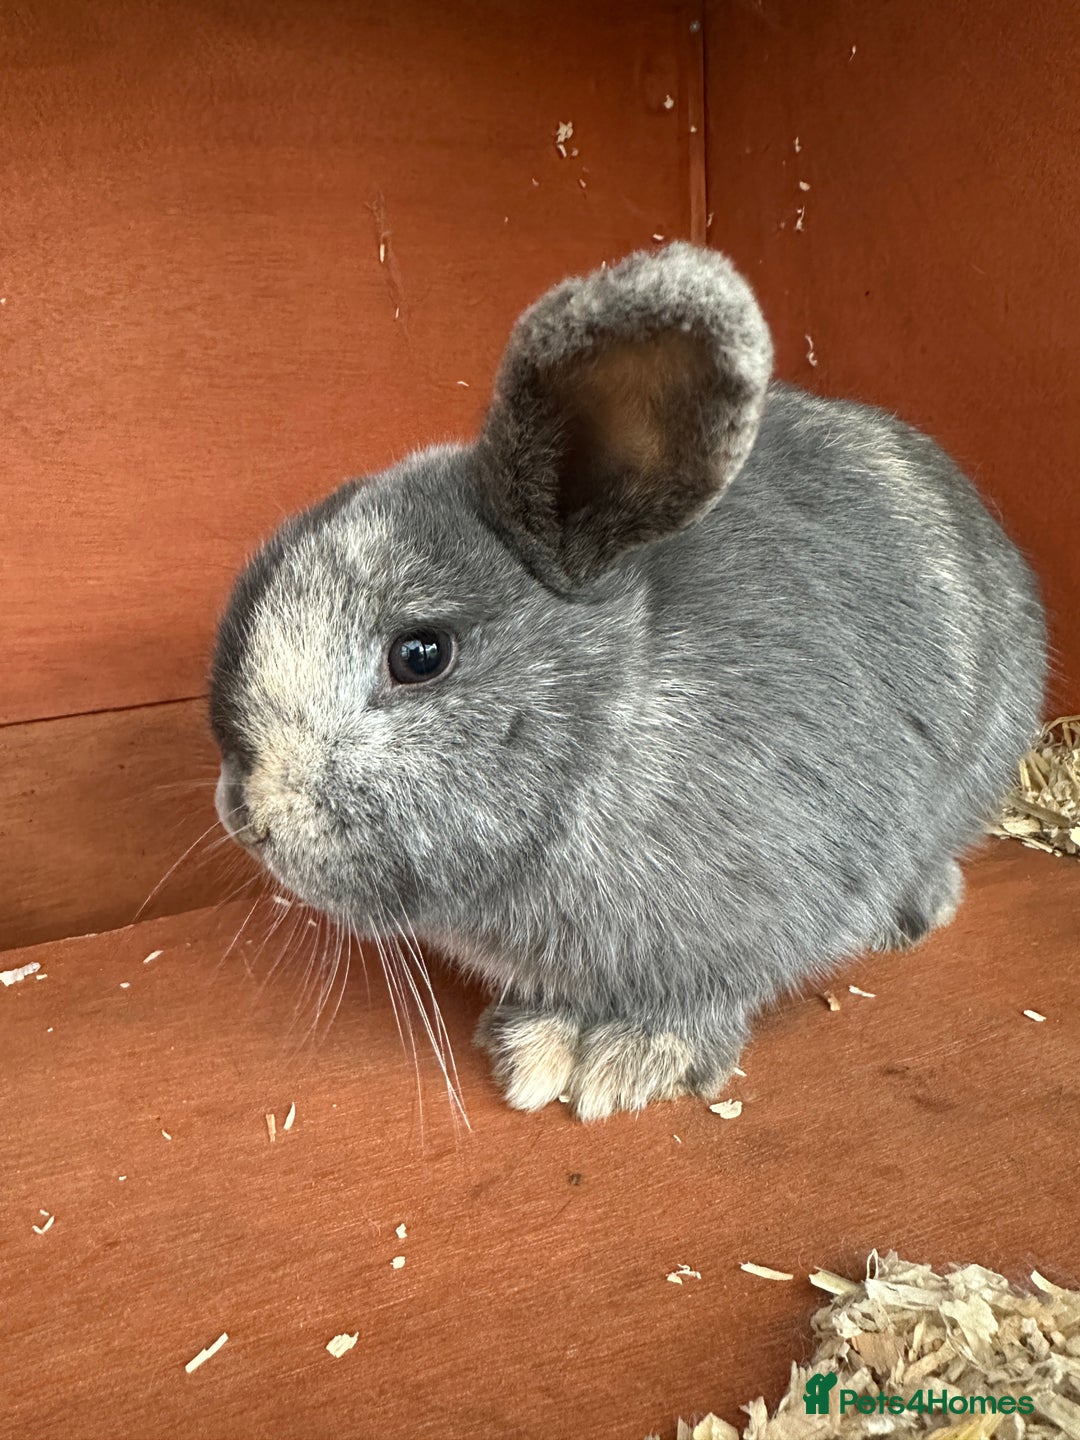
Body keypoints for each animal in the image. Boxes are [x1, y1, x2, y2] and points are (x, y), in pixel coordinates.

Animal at [209, 242, 1046, 1121]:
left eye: (420, 654)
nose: (243, 814)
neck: (610, 729)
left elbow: (701, 1001)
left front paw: (626, 1062)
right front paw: (535, 1048)